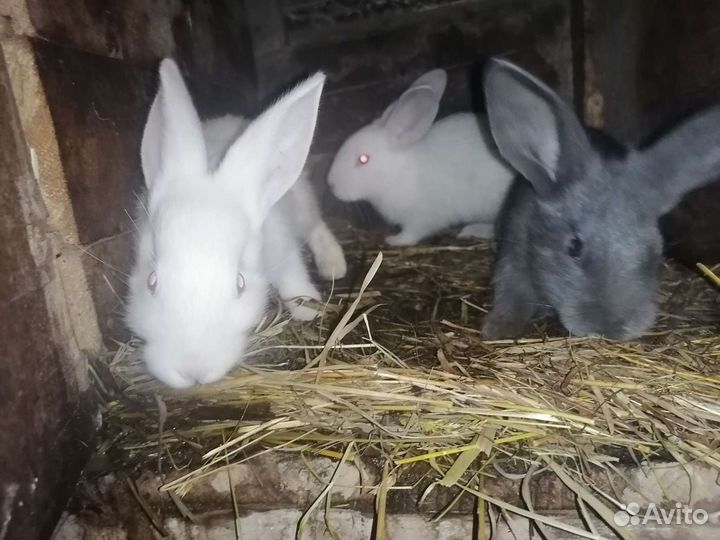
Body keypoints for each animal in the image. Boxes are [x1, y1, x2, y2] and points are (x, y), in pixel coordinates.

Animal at [126, 59, 346, 388]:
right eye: (151, 281)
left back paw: (334, 266)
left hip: (303, 205)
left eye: (239, 284)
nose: (193, 371)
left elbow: (292, 276)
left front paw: (308, 308)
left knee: (316, 226)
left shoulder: (281, 245)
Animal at [326, 68, 515, 246]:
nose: (331, 184)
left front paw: (394, 240)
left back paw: (474, 229)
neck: (397, 172)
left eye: (363, 159)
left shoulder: (422, 217)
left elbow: (412, 234)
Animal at [481, 58, 720, 341]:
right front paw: (497, 329)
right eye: (574, 247)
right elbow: (511, 296)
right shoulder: (513, 258)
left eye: (655, 250)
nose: (612, 327)